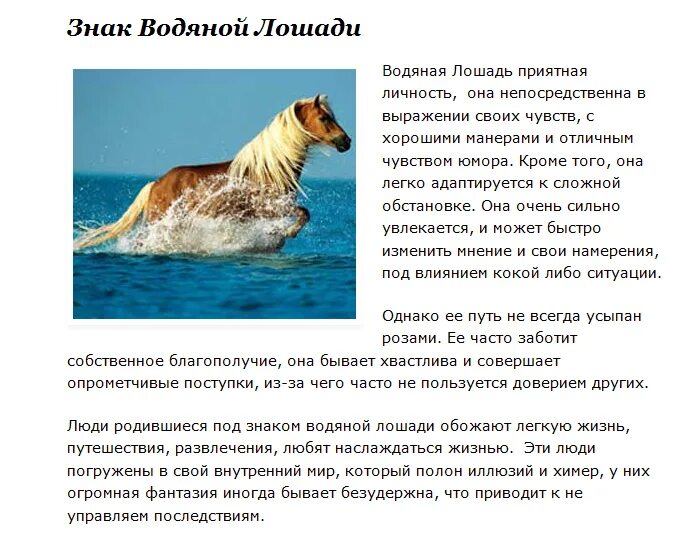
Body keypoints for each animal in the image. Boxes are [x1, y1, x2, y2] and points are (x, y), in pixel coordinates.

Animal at [73, 94, 351, 251]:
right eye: (324, 118)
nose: (346, 141)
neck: (269, 169)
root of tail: (155, 184)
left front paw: (277, 239)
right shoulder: (269, 208)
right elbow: (303, 214)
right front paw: (285, 234)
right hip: (160, 221)